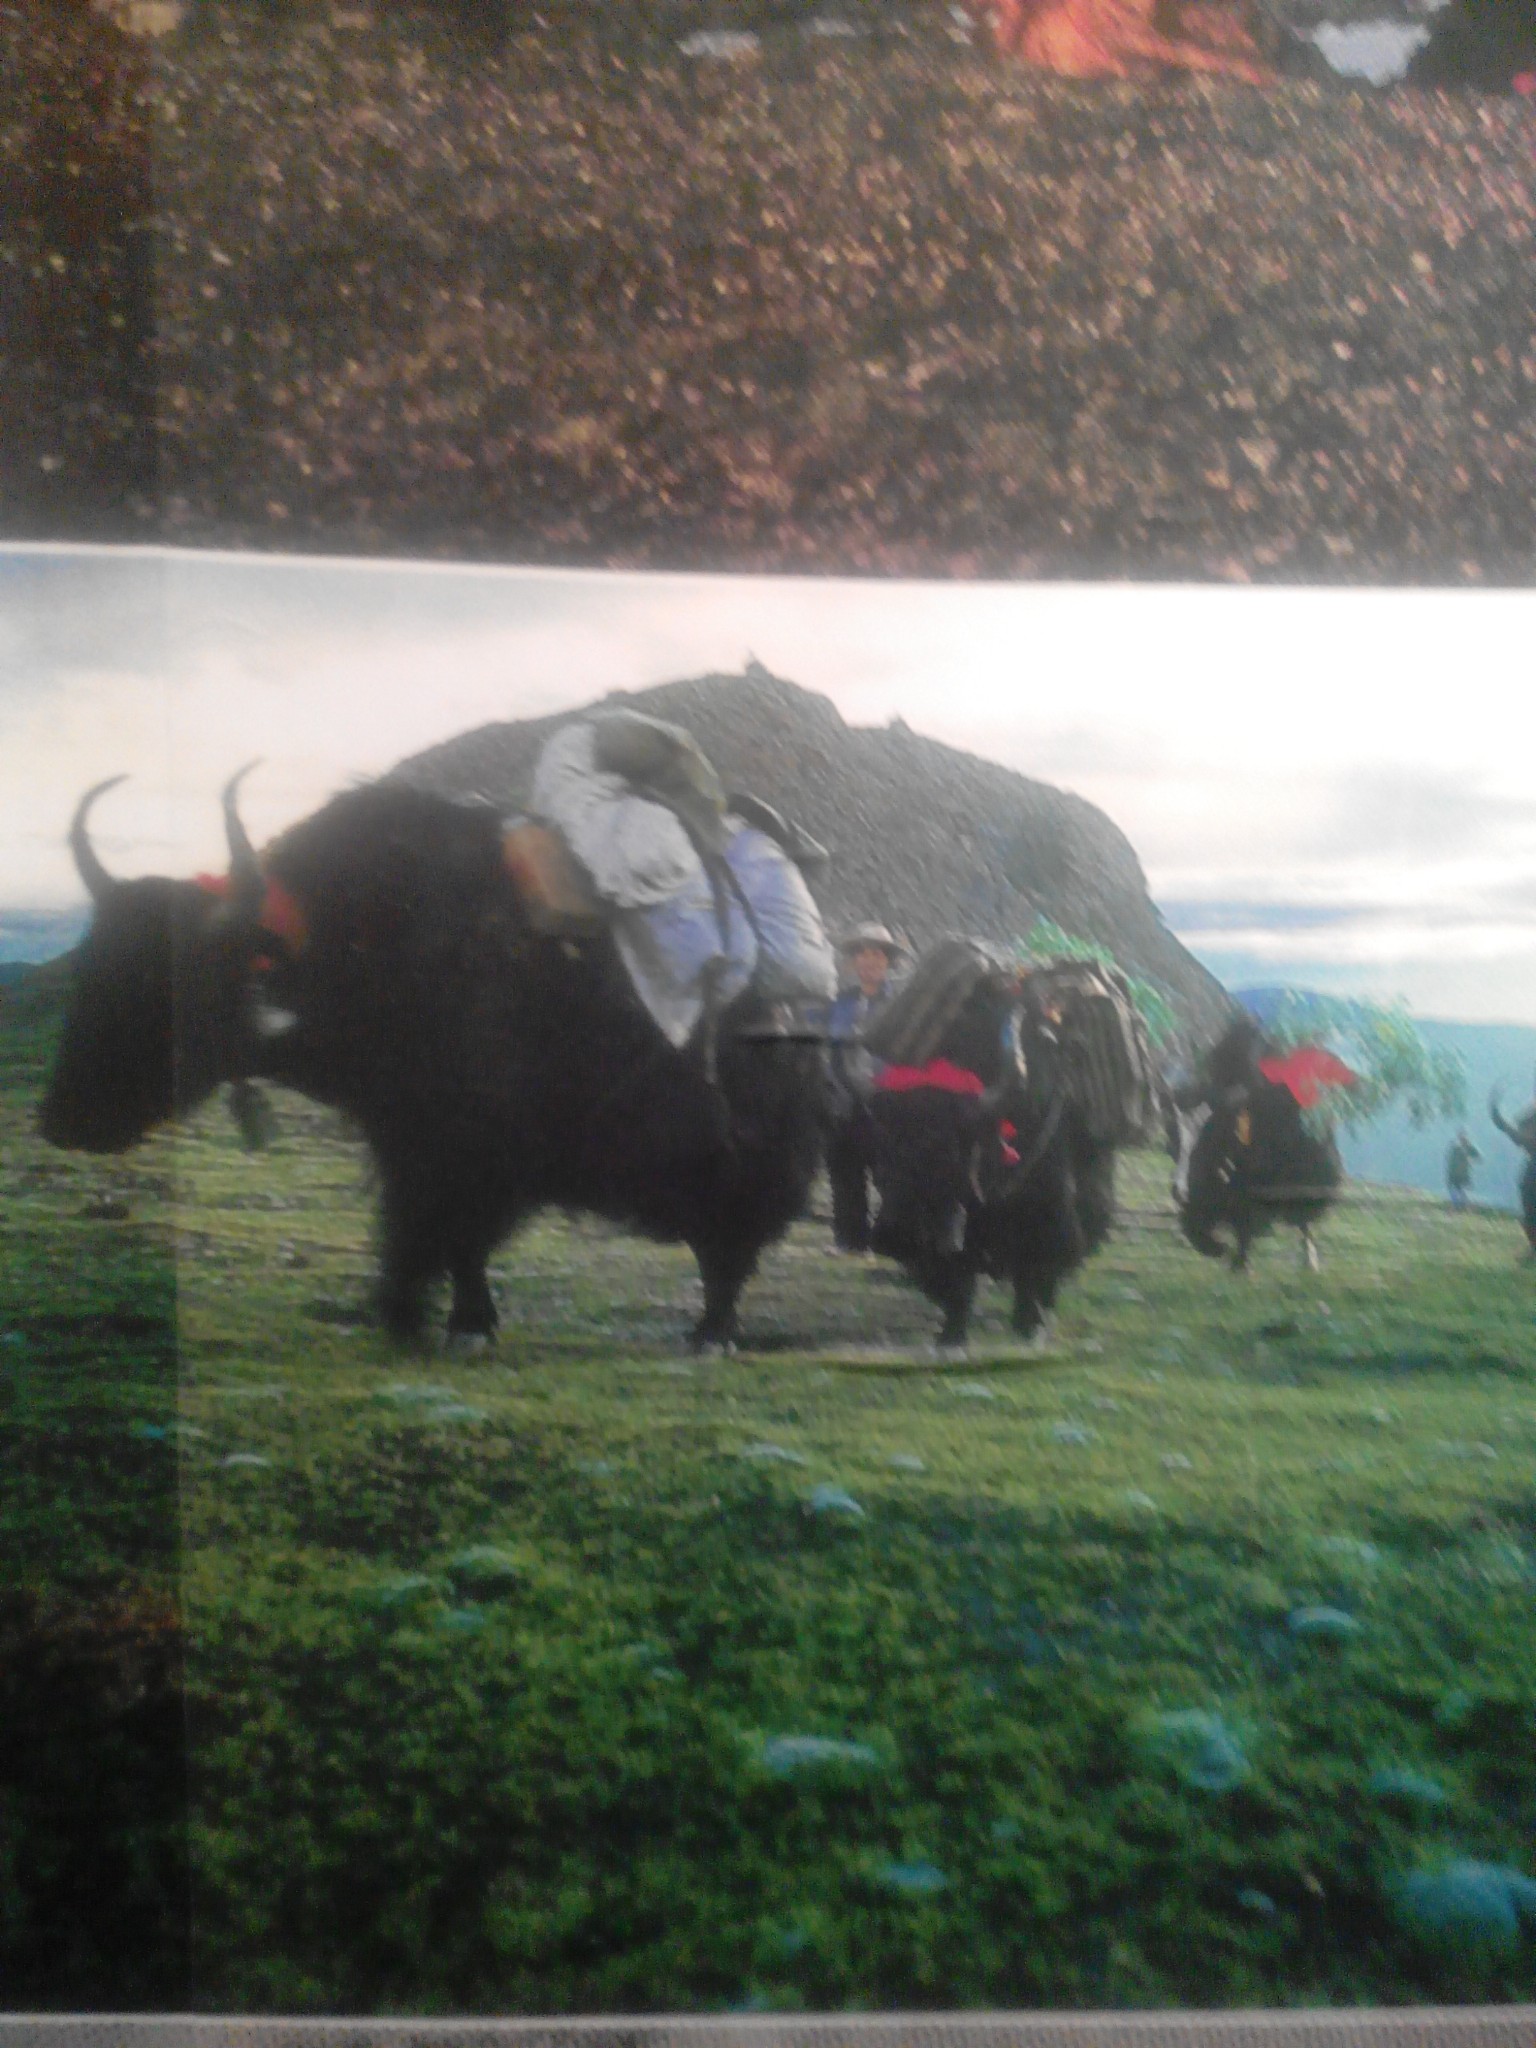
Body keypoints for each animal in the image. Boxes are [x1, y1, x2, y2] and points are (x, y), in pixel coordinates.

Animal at [39, 771, 830, 1353]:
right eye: (89, 968)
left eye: (178, 989)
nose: (64, 1121)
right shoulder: (405, 1140)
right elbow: (425, 1233)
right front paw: (411, 1316)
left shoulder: (469, 1147)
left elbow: (453, 1233)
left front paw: (454, 1325)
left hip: (747, 1157)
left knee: (731, 1244)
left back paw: (711, 1335)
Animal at [862, 941, 1158, 1353]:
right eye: (884, 1141)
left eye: (943, 1146)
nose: (890, 1234)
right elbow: (956, 1278)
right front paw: (951, 1334)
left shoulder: (1048, 1206)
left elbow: (1038, 1264)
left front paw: (1029, 1324)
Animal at [1169, 1017, 1346, 1273]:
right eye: (1171, 1136)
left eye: (1212, 1131)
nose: (1179, 1191)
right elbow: (1199, 1229)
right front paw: (1225, 1252)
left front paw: (1237, 1261)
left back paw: (1309, 1260)